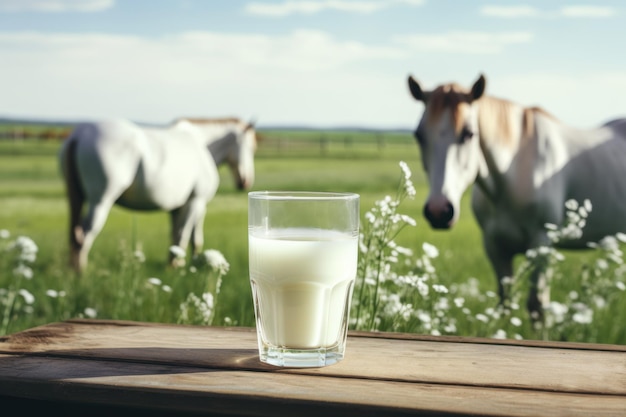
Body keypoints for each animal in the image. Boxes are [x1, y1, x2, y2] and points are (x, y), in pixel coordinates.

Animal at [57, 118, 255, 272]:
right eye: (250, 147)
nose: (245, 182)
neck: (201, 145)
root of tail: (79, 134)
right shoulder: (196, 202)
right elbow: (184, 235)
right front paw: (176, 267)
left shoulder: (178, 207)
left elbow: (183, 237)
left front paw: (179, 264)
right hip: (100, 202)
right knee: (83, 236)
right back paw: (81, 273)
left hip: (76, 198)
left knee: (73, 235)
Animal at [408, 73, 624, 316]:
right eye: (419, 136)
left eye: (468, 134)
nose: (439, 211)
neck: (512, 174)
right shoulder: (495, 247)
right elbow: (505, 302)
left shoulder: (542, 244)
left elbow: (537, 305)